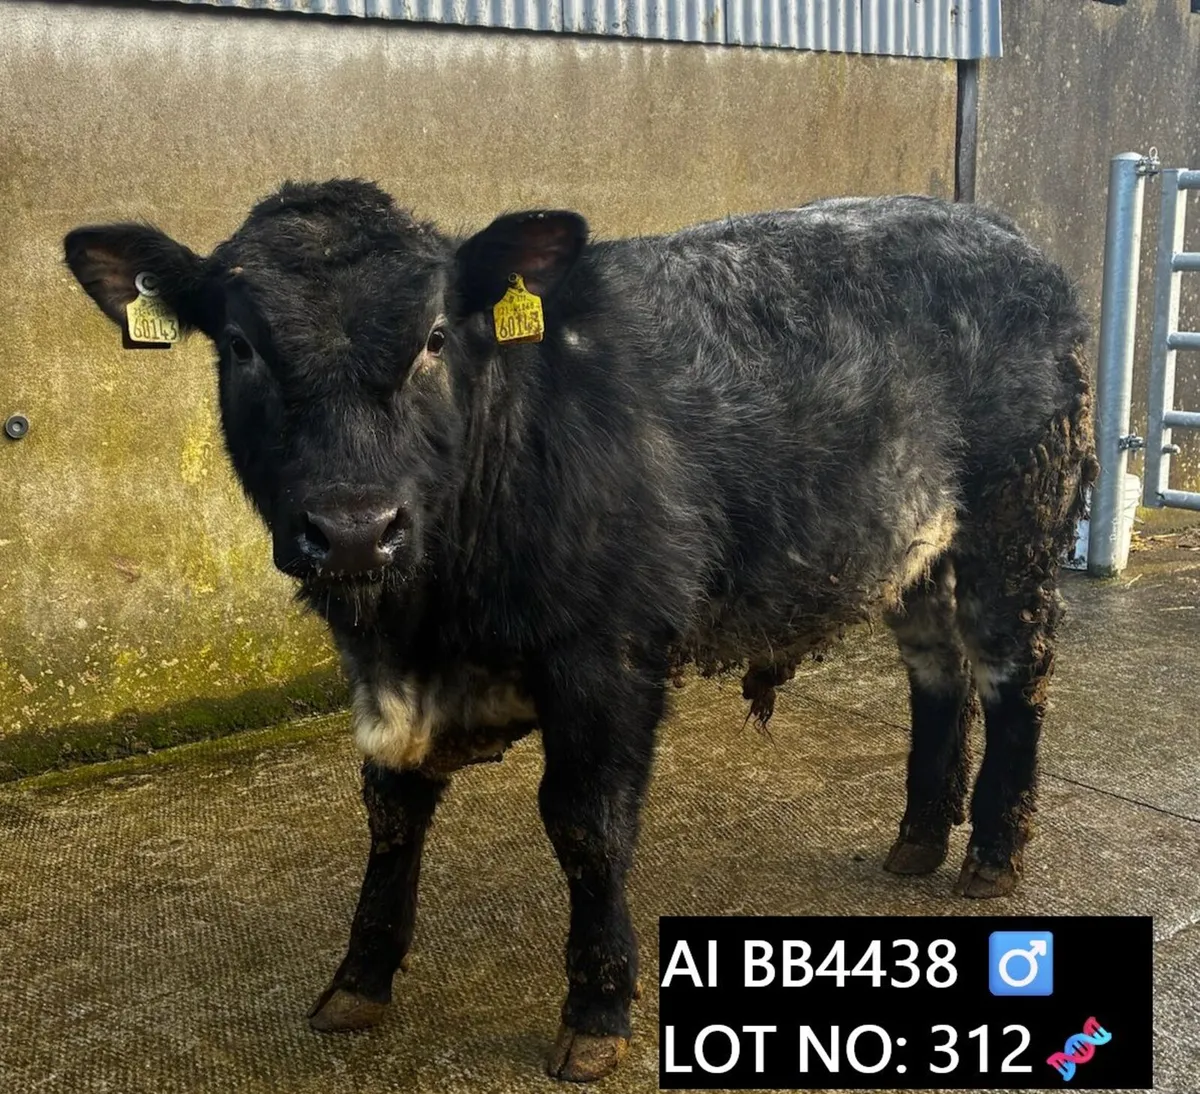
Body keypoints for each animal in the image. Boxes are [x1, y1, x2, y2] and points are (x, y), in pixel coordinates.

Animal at [64, 181, 1095, 1082]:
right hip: (913, 548)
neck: (431, 623)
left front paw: (597, 1012)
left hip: (1016, 523)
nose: (355, 527)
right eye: (240, 344)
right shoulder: (381, 671)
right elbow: (391, 812)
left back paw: (991, 855)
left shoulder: (608, 657)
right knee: (939, 675)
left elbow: (586, 825)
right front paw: (359, 979)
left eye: (435, 336)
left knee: (1016, 674)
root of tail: (1003, 232)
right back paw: (920, 835)